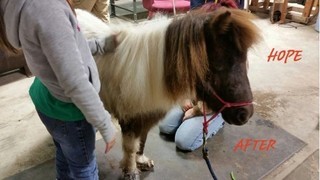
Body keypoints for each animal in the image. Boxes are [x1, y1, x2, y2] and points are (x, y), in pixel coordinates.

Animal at [75, 7, 260, 180]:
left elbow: (142, 141)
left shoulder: (146, 116)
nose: (245, 114)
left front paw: (141, 161)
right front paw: (131, 171)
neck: (147, 72)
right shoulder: (130, 120)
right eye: (220, 63)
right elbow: (130, 147)